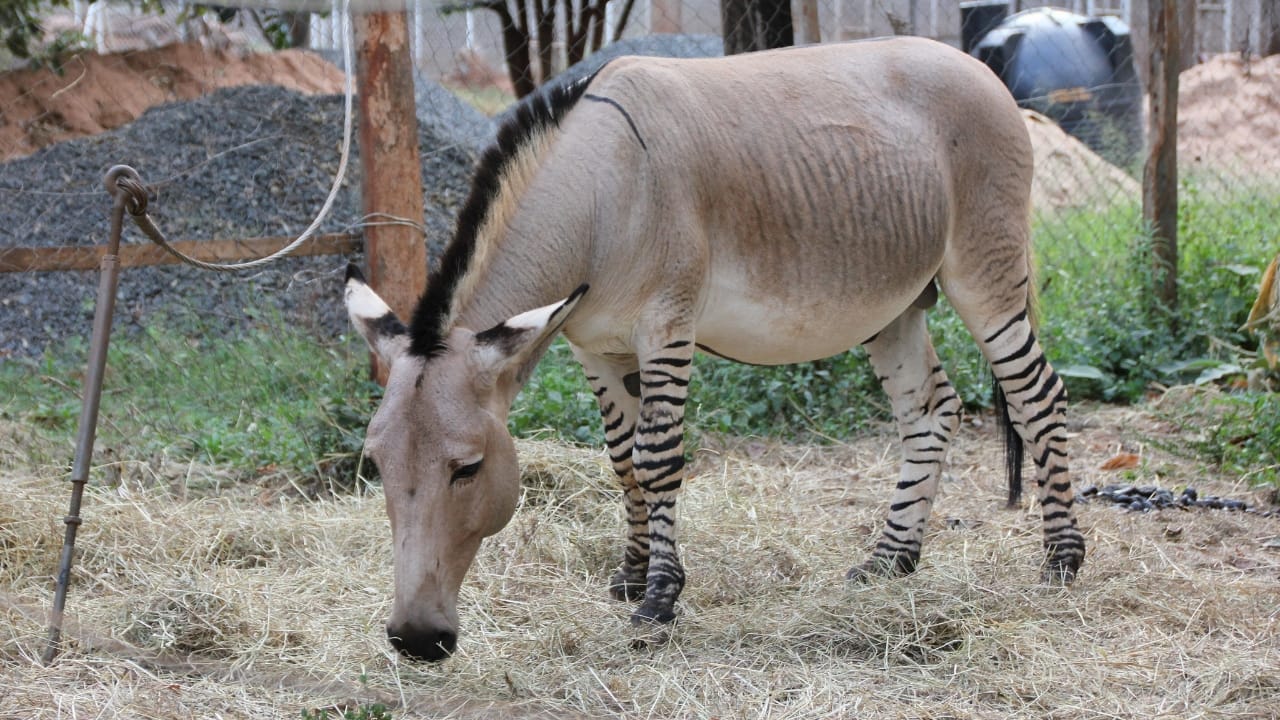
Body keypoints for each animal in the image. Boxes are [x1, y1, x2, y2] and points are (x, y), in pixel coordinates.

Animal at [343, 36, 1086, 662]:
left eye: (468, 468)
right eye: (375, 466)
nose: (415, 641)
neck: (598, 198)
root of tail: (972, 62)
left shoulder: (666, 326)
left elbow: (656, 459)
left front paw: (659, 600)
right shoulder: (596, 347)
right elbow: (622, 461)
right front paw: (631, 573)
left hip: (984, 273)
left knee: (1037, 398)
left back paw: (1062, 559)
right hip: (896, 301)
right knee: (931, 409)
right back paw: (890, 560)